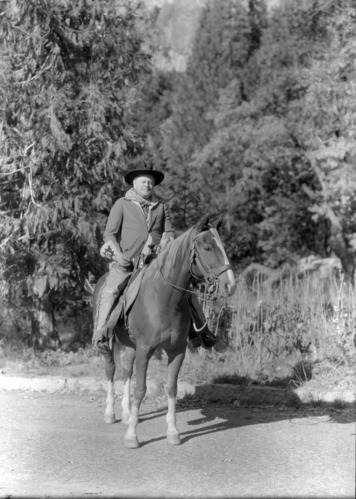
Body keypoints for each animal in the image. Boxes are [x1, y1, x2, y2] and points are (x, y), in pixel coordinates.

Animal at [93, 213, 235, 452]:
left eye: (222, 246)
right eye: (207, 247)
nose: (230, 285)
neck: (164, 297)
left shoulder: (177, 351)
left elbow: (171, 388)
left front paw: (173, 432)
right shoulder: (145, 350)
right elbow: (141, 389)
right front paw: (132, 436)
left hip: (129, 345)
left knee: (126, 371)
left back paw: (126, 413)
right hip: (109, 343)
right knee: (111, 371)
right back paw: (110, 412)